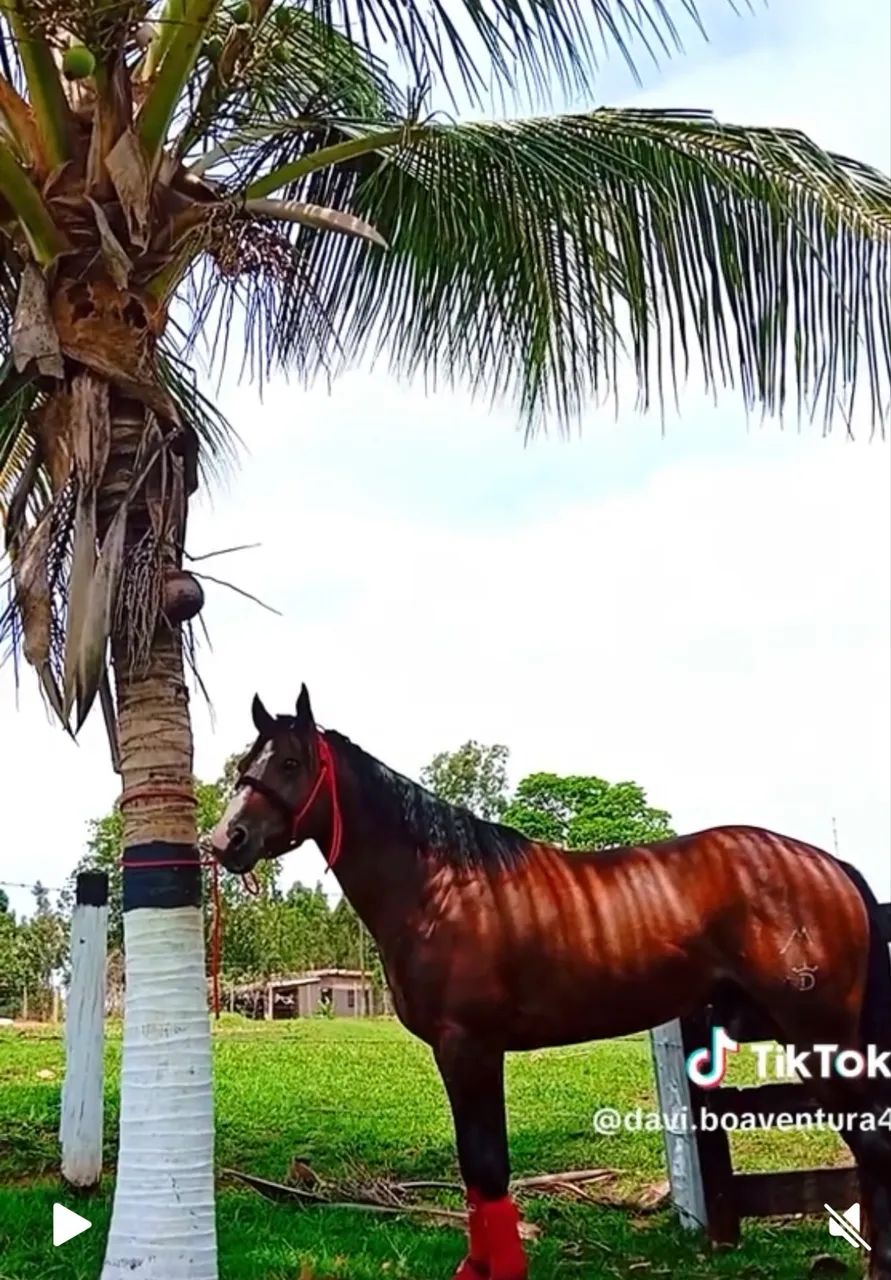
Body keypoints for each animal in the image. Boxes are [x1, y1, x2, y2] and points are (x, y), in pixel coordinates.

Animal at [210, 687, 891, 1280]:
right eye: (246, 765)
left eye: (290, 762)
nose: (225, 840)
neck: (441, 889)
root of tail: (830, 865)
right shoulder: (459, 1055)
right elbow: (474, 1167)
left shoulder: (470, 1048)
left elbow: (488, 1164)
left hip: (818, 1038)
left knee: (872, 1144)